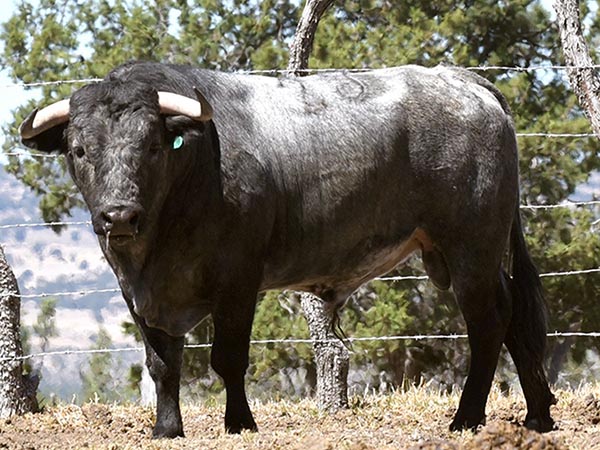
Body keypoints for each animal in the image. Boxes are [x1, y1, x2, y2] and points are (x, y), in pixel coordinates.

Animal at [19, 61, 556, 438]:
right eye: (79, 150)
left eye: (152, 146)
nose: (119, 216)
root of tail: (460, 80)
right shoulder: (137, 292)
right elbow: (163, 364)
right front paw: (166, 429)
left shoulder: (238, 280)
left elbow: (228, 359)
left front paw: (240, 423)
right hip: (471, 254)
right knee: (515, 318)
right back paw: (538, 414)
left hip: (470, 250)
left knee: (488, 325)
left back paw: (466, 418)